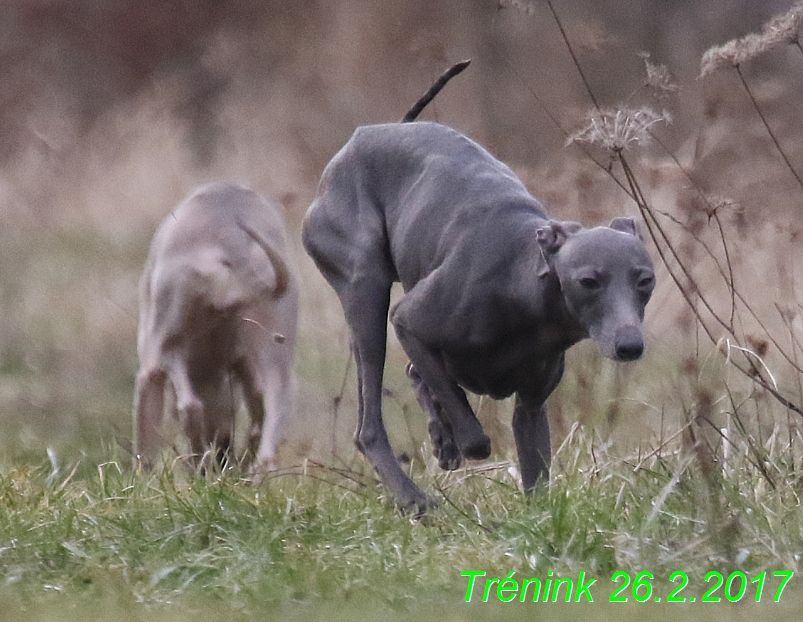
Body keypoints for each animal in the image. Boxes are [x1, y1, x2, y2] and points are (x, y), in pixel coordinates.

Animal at [135, 182, 298, 472]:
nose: (223, 449)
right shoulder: (240, 363)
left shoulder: (151, 365)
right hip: (274, 336)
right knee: (275, 403)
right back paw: (253, 472)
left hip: (168, 340)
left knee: (189, 406)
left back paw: (201, 467)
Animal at [302, 120, 652, 512]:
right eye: (588, 281)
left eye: (645, 280)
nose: (630, 346)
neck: (522, 284)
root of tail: (360, 136)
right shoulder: (409, 322)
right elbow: (475, 438)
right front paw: (453, 438)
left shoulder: (531, 406)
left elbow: (535, 474)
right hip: (366, 290)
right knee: (370, 426)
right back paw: (414, 499)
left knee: (414, 375)